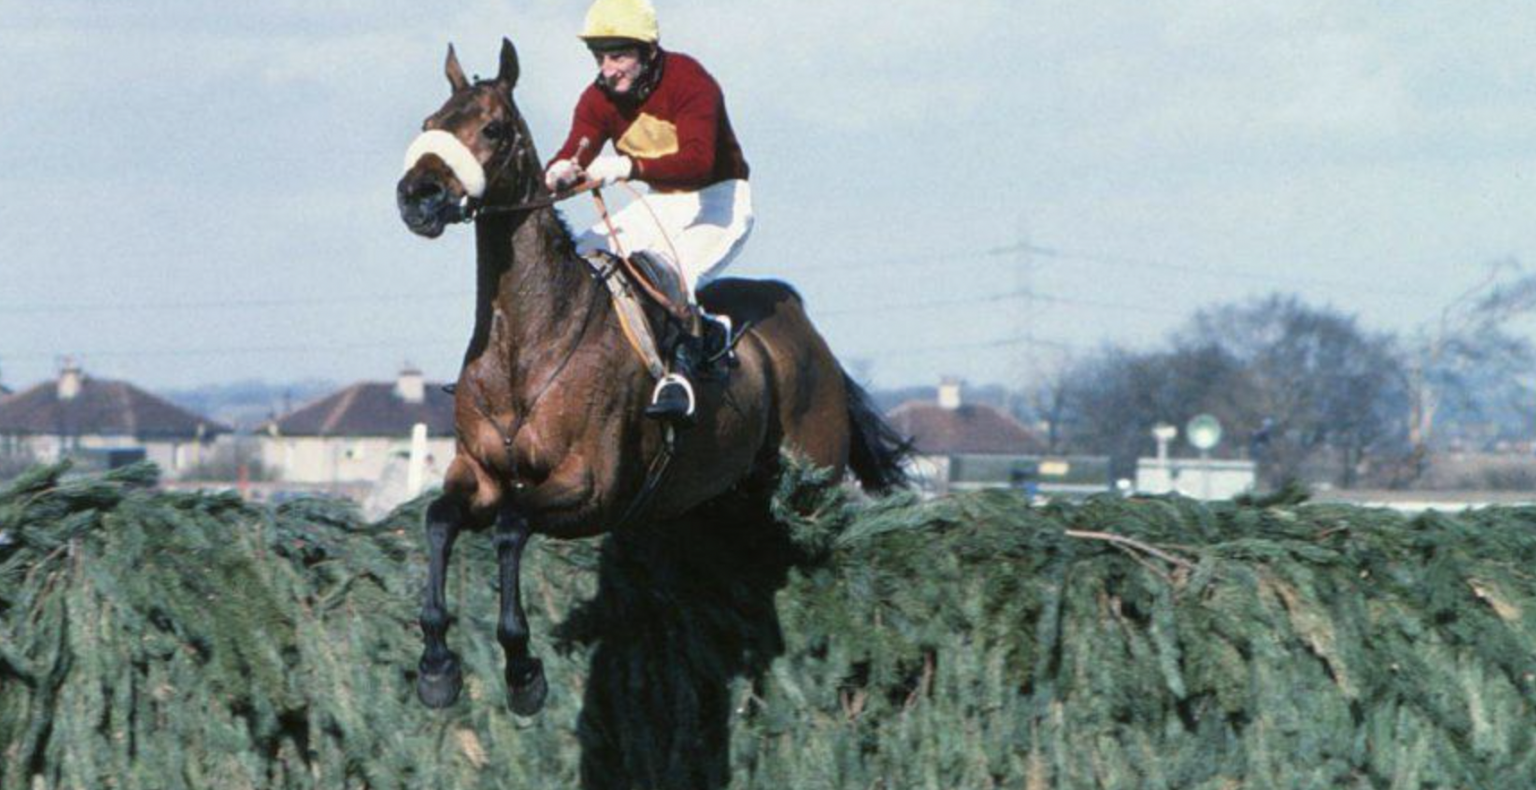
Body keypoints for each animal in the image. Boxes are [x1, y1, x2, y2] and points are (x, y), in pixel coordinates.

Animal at [395, 38, 910, 715]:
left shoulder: (590, 488)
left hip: (811, 482)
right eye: (430, 122)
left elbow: (510, 527)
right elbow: (438, 521)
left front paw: (523, 670)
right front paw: (435, 665)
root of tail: (805, 330)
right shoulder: (478, 474)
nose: (417, 196)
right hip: (719, 501)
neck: (528, 341)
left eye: (493, 128)